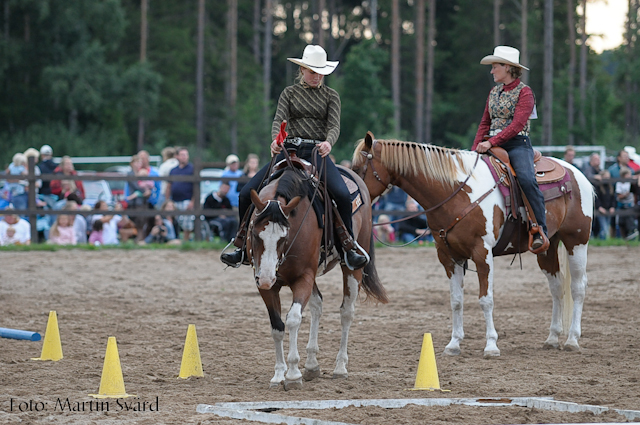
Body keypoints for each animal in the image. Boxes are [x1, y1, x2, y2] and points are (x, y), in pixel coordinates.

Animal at [245, 165, 388, 388]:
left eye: (284, 237)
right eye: (253, 232)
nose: (267, 278)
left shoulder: (303, 277)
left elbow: (293, 319)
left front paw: (293, 374)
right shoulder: (264, 284)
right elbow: (277, 326)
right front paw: (278, 374)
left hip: (352, 268)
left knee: (346, 312)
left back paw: (340, 367)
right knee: (317, 305)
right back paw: (312, 365)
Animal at [352, 131, 592, 356]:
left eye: (359, 167)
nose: (355, 198)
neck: (454, 191)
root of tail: (578, 173)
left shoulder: (482, 253)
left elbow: (486, 300)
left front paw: (491, 346)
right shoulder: (449, 256)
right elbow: (456, 300)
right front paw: (454, 344)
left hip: (576, 242)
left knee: (578, 288)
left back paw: (572, 339)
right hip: (547, 247)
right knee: (557, 287)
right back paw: (552, 338)